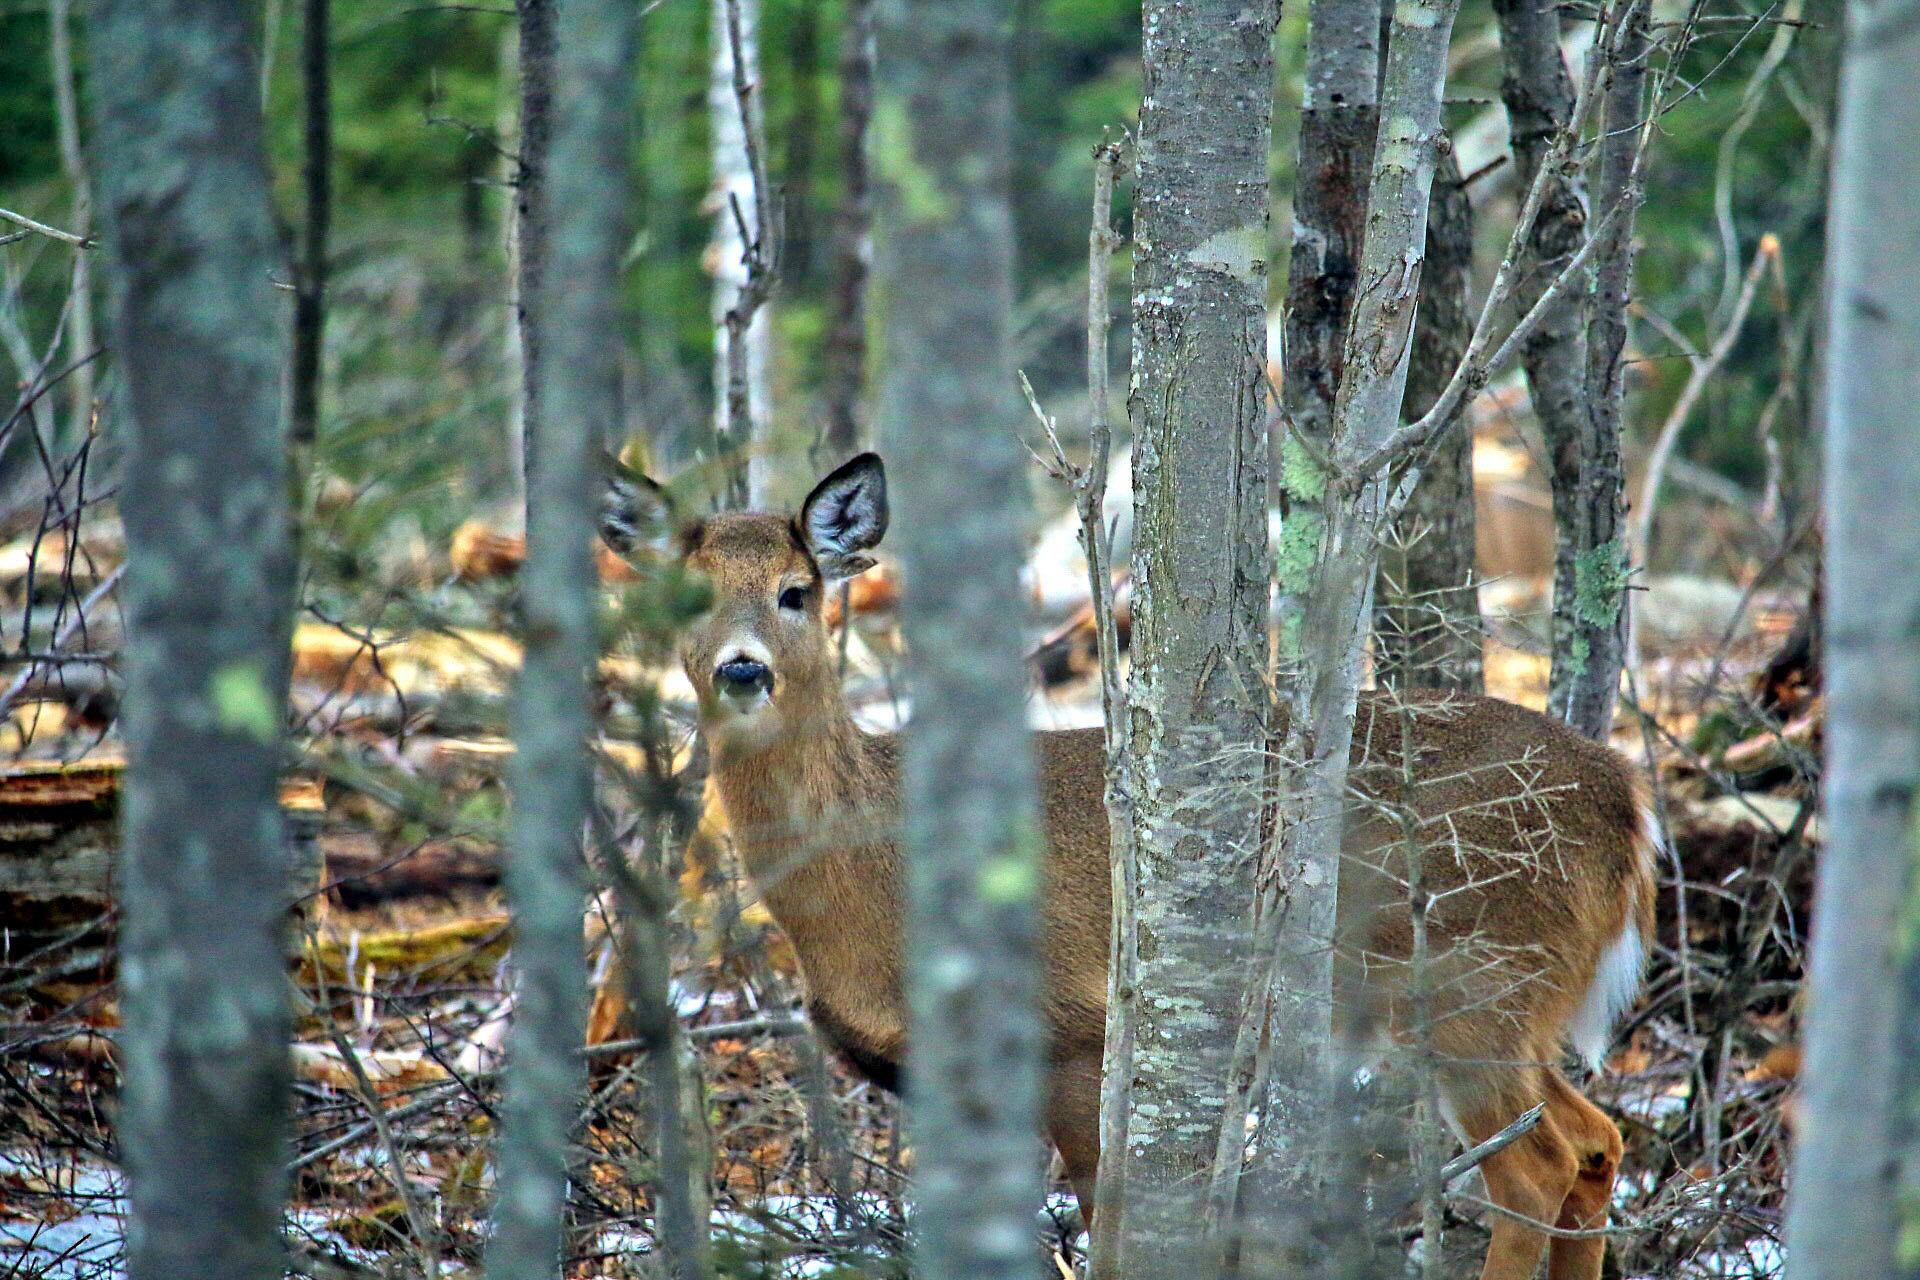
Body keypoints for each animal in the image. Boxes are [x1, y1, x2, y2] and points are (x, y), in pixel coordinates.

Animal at [601, 451, 1659, 1280]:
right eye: (692, 597)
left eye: (797, 590)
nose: (743, 668)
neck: (875, 874)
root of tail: (1626, 803)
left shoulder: (1077, 1036)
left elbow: (1112, 1229)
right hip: (1509, 1001)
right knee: (1597, 1143)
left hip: (1471, 981)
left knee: (1539, 1165)